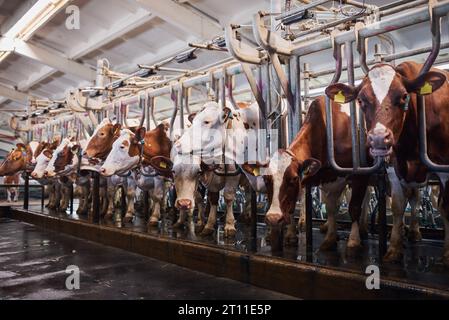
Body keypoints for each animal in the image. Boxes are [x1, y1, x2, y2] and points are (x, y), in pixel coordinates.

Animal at [326, 60, 448, 264]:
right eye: (361, 100)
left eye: (404, 96)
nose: (378, 138)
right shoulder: (393, 166)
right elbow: (398, 205)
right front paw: (394, 249)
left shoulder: (444, 168)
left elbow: (445, 207)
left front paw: (446, 254)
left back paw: (414, 232)